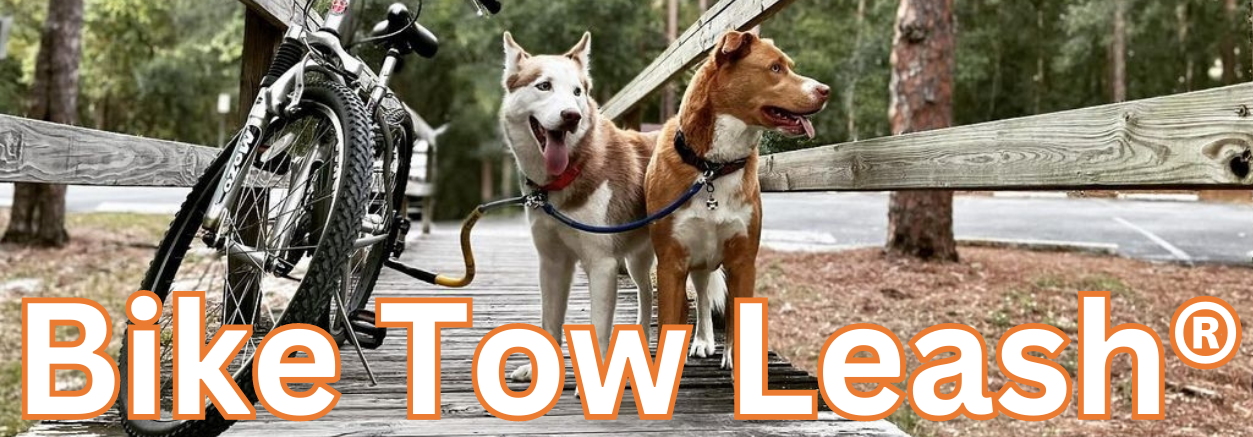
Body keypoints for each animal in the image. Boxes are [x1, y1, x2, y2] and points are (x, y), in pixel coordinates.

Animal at [498, 32, 661, 380]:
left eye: (577, 92)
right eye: (544, 86)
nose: (571, 116)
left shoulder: (601, 265)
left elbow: (599, 331)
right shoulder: (552, 263)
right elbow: (549, 322)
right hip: (637, 260)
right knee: (646, 293)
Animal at [646, 29, 831, 368]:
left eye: (789, 66)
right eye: (775, 68)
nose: (825, 90)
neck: (713, 168)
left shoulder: (744, 262)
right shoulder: (671, 262)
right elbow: (670, 319)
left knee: (707, 299)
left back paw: (707, 340)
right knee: (699, 298)